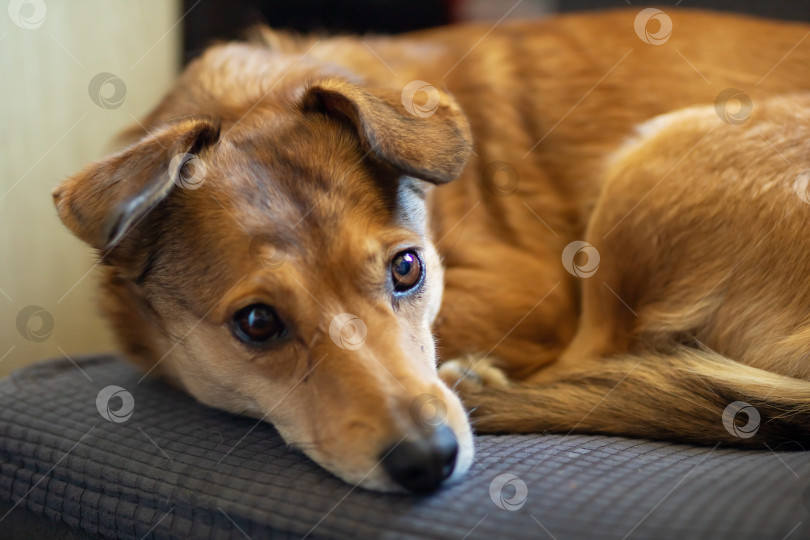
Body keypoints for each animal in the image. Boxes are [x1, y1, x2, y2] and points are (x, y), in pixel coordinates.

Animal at [52, 8, 808, 492]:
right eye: (257, 323)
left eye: (408, 268)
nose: (431, 460)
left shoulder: (529, 288)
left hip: (646, 173)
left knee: (598, 358)